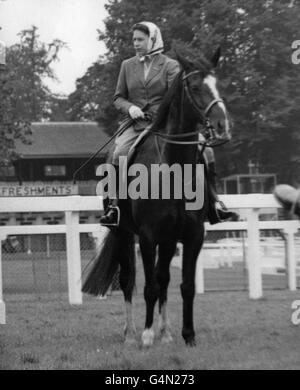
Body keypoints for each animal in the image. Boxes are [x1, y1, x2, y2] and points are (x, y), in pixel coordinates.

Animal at [82, 49, 232, 348]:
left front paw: (188, 335)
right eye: (195, 87)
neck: (174, 167)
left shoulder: (193, 235)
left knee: (164, 279)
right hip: (125, 233)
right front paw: (147, 334)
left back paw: (167, 332)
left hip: (168, 239)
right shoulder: (148, 236)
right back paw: (131, 334)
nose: (222, 126)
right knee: (128, 280)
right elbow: (149, 286)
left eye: (217, 84)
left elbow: (185, 286)